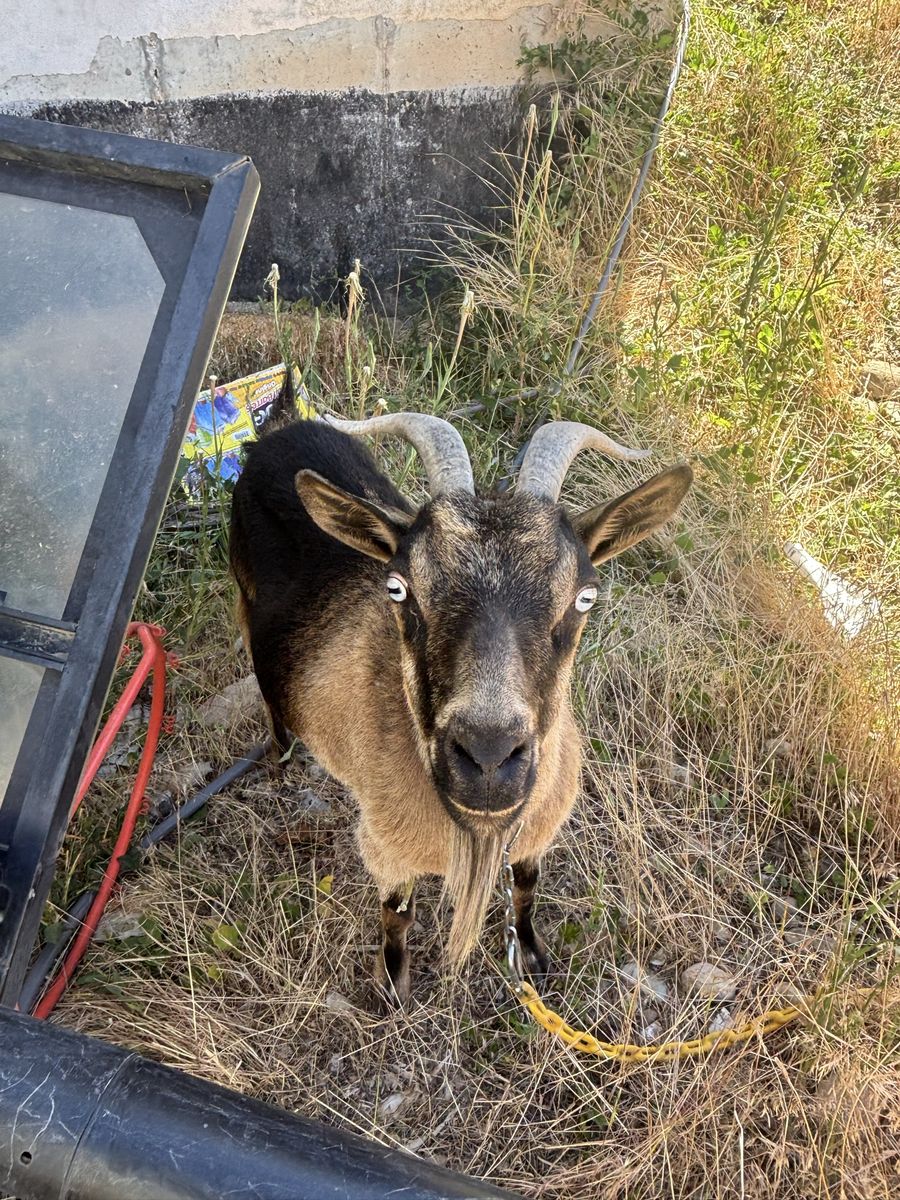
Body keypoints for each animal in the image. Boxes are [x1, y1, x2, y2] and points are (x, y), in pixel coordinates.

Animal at [230, 412, 692, 1003]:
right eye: (397, 587)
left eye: (585, 596)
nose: (488, 759)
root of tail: (283, 425)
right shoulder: (386, 849)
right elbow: (396, 913)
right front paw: (393, 984)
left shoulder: (532, 836)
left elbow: (526, 888)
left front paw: (532, 955)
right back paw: (280, 759)